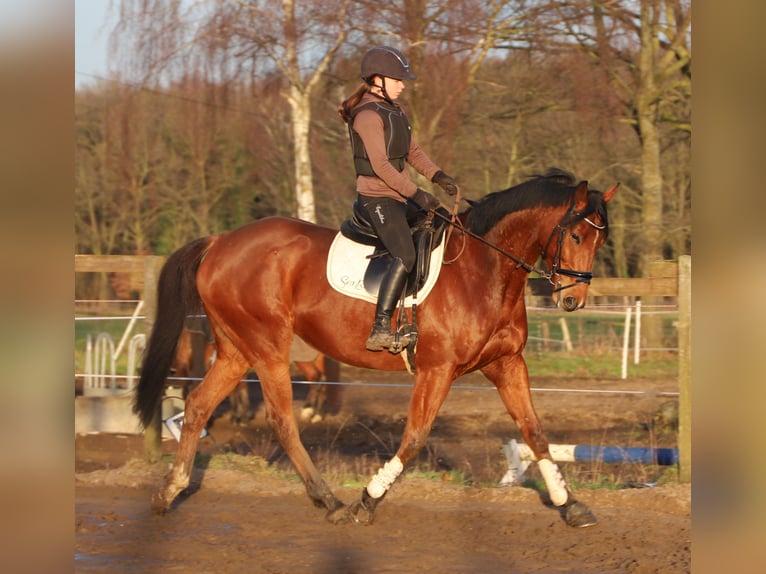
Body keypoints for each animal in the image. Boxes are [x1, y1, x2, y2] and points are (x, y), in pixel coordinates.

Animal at [135, 169, 617, 527]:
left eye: (601, 240)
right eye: (576, 236)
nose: (573, 300)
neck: (485, 270)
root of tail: (221, 241)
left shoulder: (506, 364)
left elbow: (535, 431)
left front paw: (571, 505)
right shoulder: (437, 370)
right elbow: (415, 437)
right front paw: (367, 501)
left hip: (237, 349)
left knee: (198, 404)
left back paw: (169, 491)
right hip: (267, 347)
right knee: (281, 420)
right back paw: (329, 501)